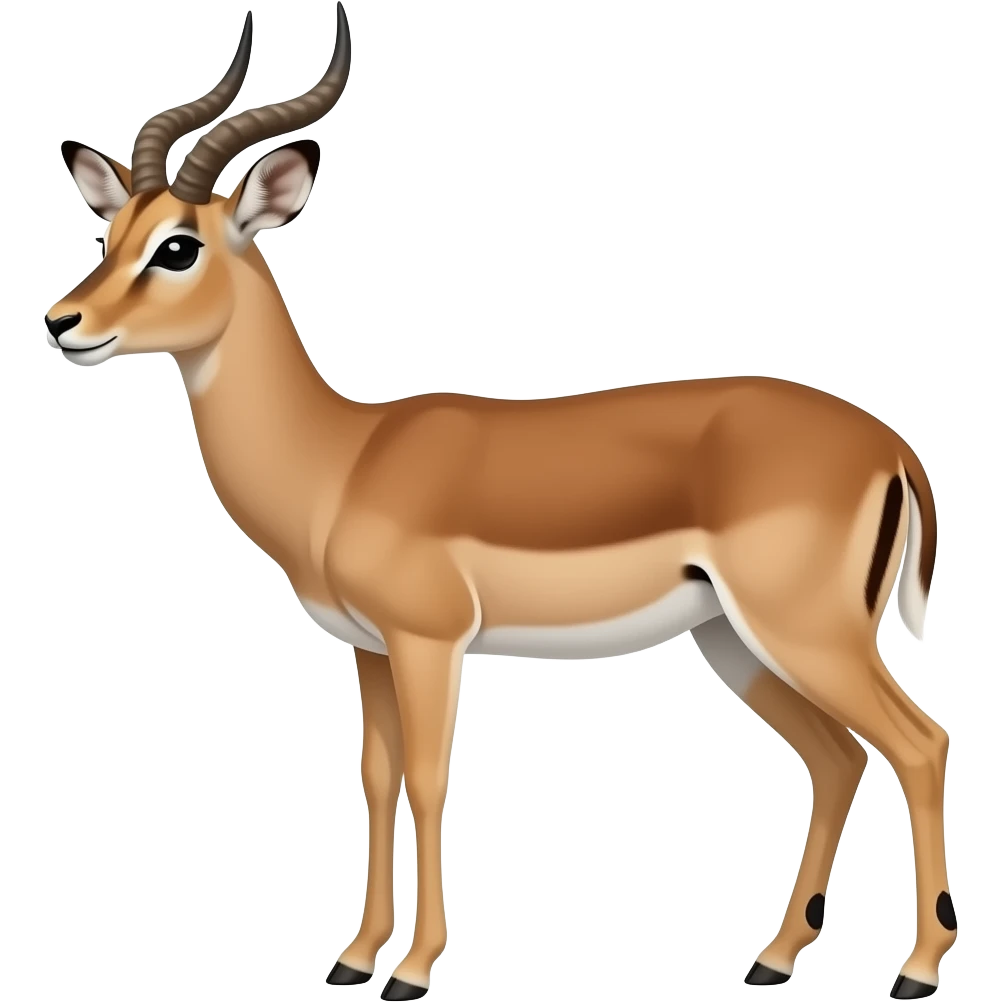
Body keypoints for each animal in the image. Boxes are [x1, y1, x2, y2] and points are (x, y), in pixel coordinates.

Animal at [43, 9, 954, 1000]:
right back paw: (772, 960)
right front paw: (354, 958)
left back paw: (916, 969)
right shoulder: (370, 650)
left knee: (918, 742)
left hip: (806, 630)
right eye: (108, 232)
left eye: (178, 245)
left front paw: (413, 969)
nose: (63, 321)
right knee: (839, 757)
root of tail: (890, 445)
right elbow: (375, 778)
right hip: (735, 639)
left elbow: (429, 778)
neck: (343, 461)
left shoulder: (430, 641)